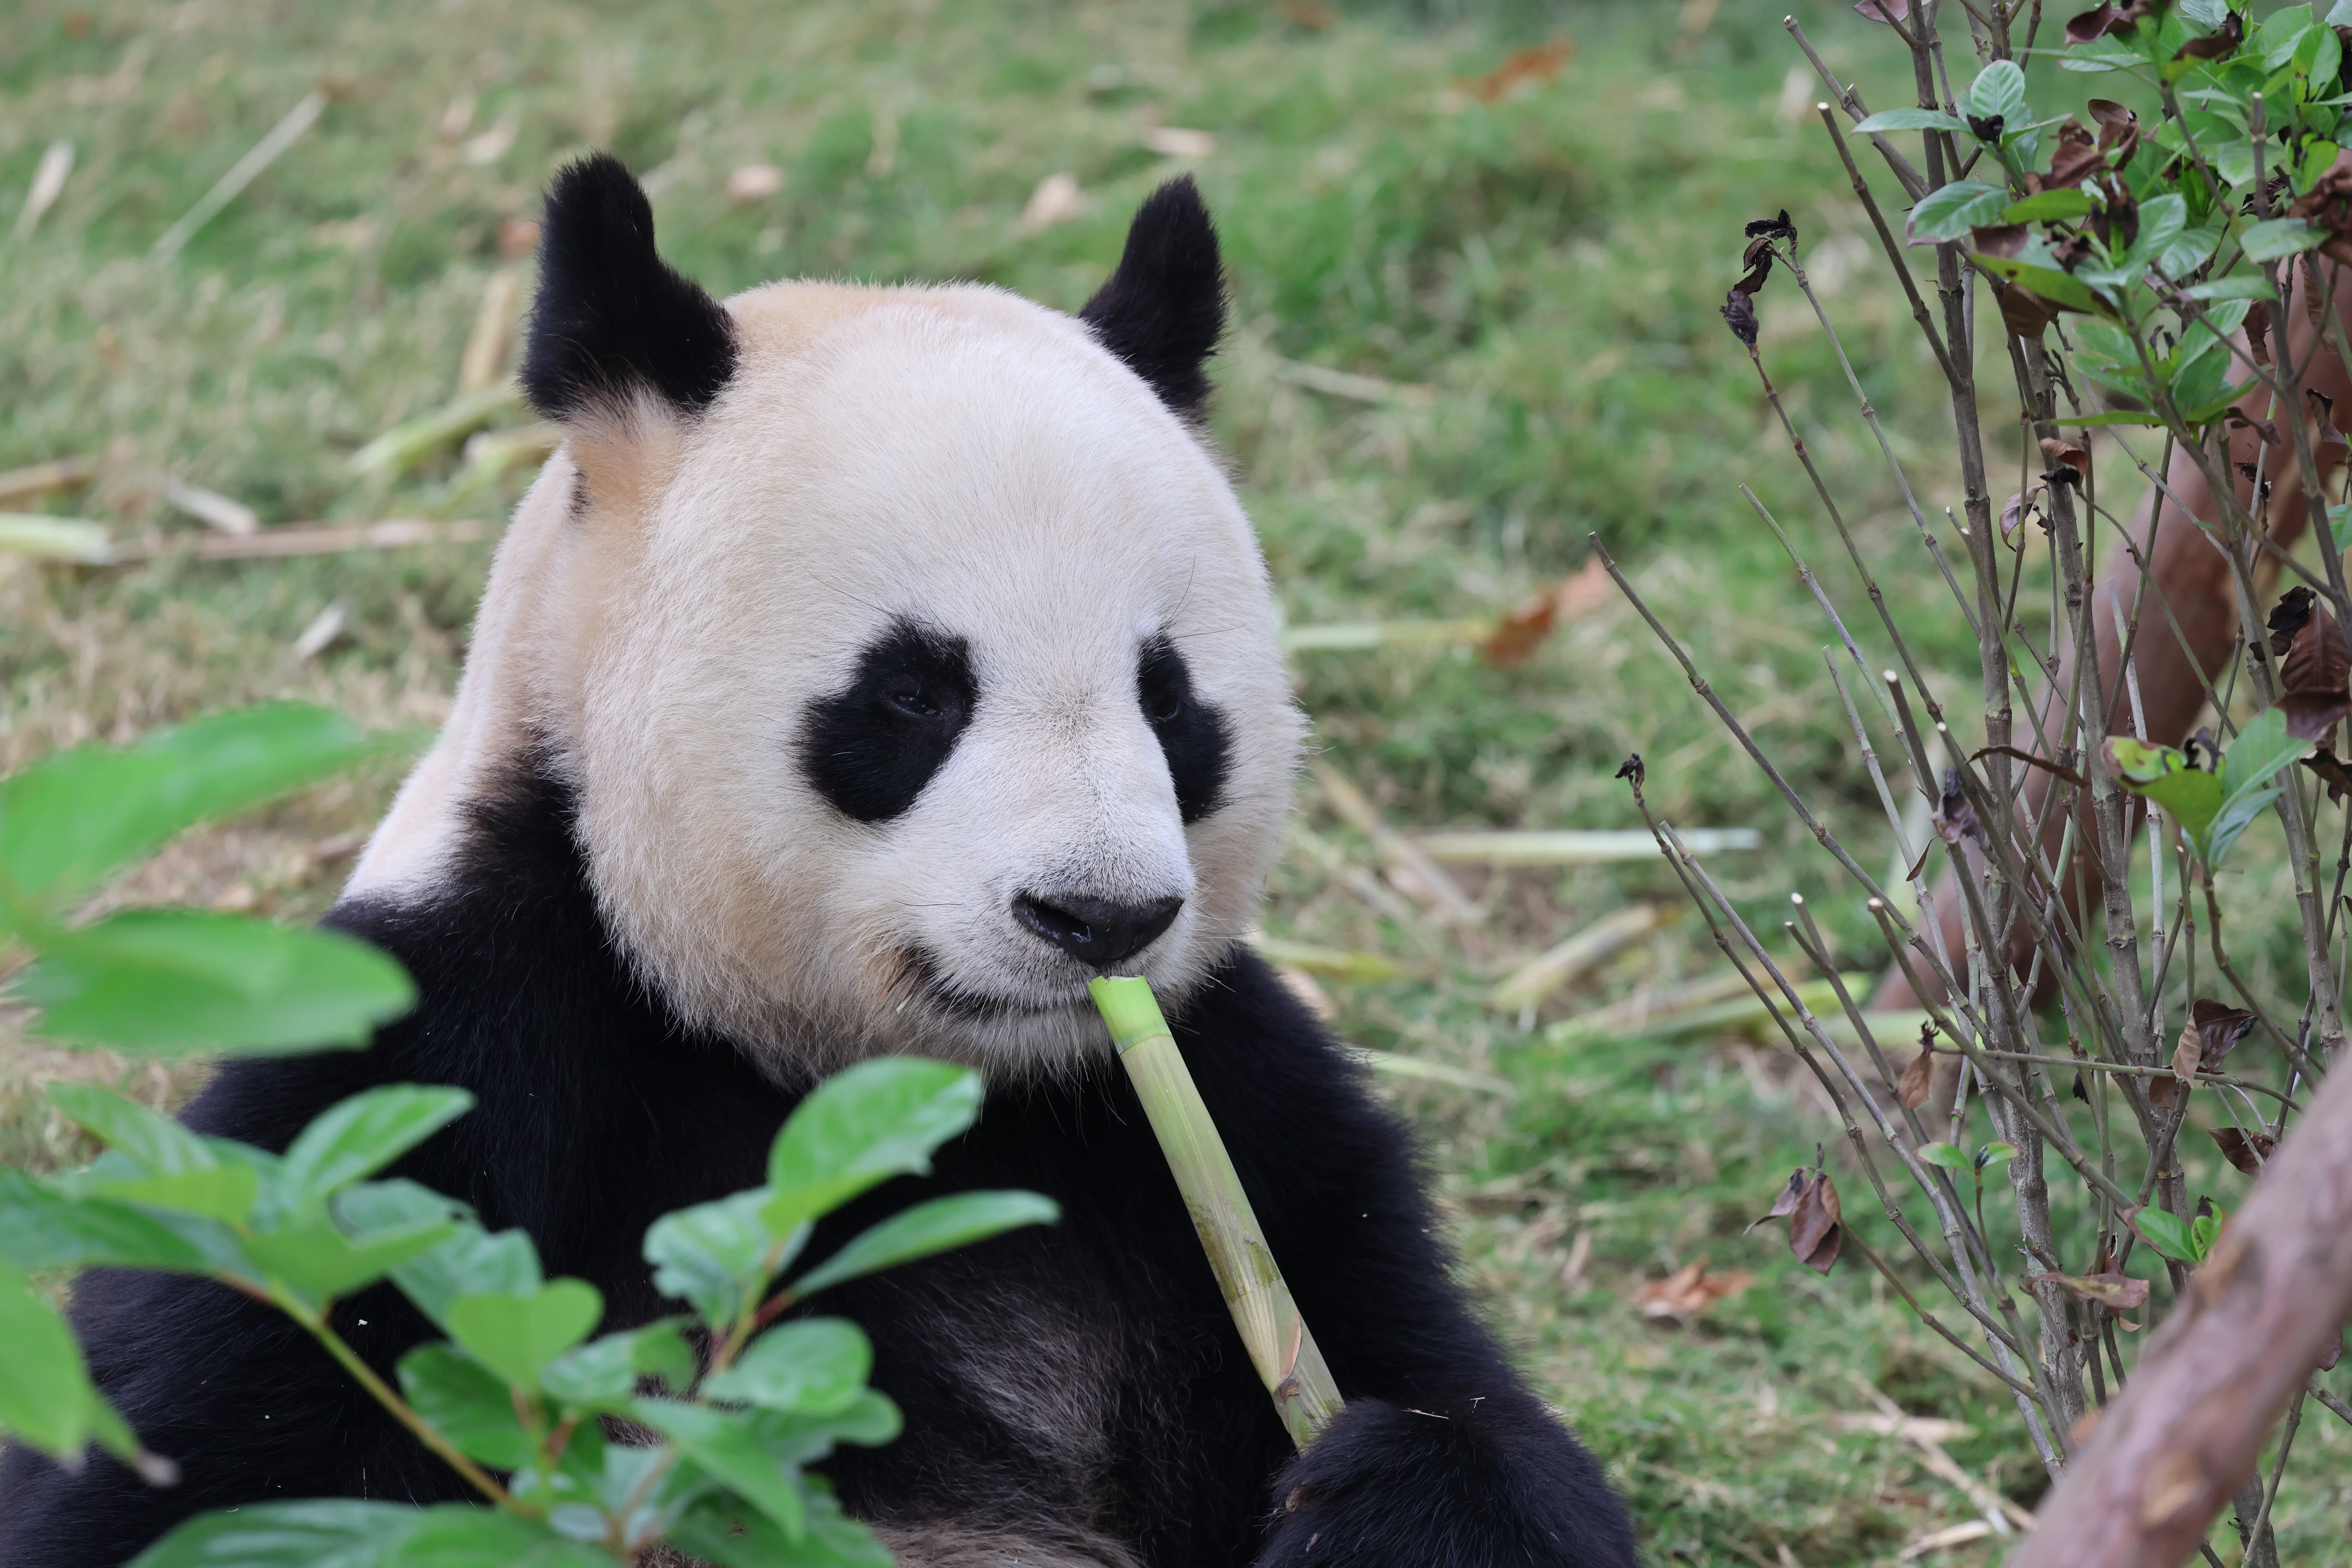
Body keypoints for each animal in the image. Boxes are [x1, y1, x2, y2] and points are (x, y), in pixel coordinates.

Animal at [0, 156, 1636, 1568]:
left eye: (1169, 696)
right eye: (911, 692)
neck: (895, 1087)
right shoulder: (441, 1058)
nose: (1097, 916)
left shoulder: (1228, 1111)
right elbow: (186, 1452)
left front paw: (1383, 1490)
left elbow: (1457, 1395)